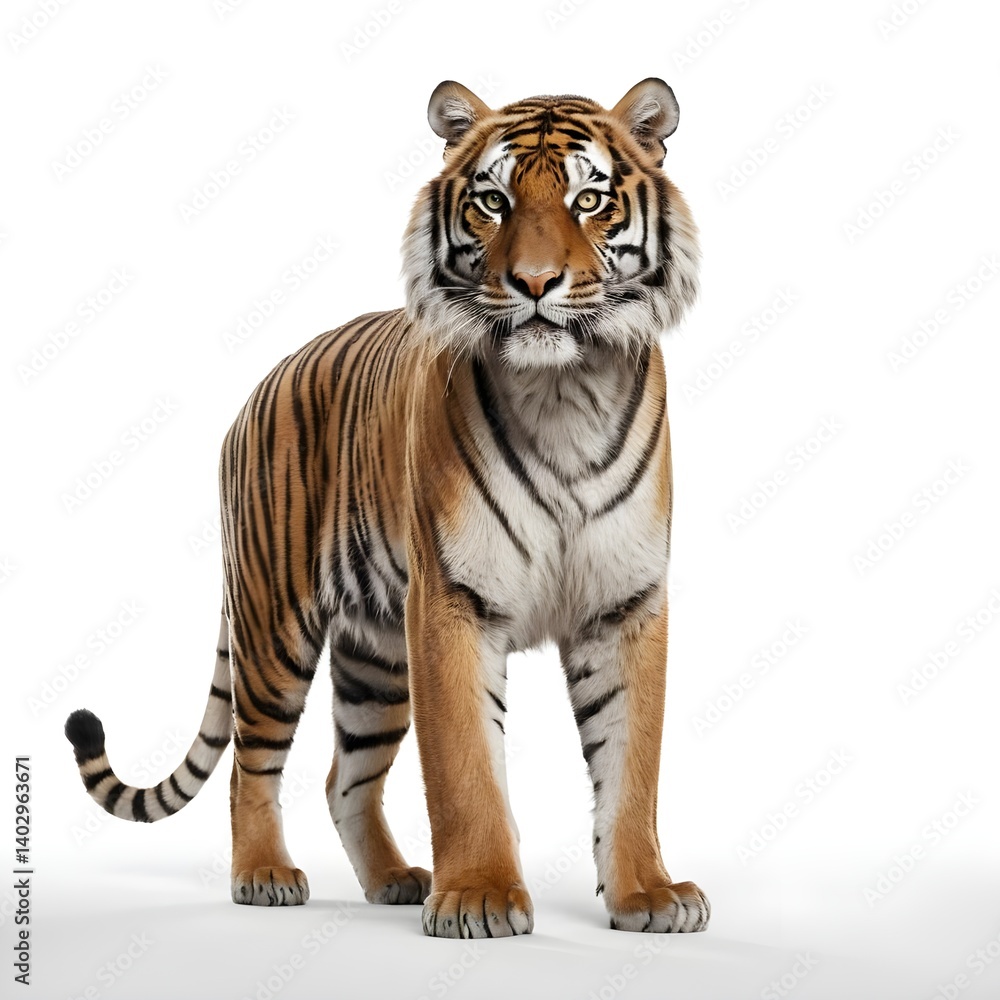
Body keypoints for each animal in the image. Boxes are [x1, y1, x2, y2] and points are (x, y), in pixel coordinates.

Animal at [65, 77, 709, 938]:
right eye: (495, 201)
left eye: (590, 199)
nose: (535, 283)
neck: (562, 390)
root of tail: (258, 386)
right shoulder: (451, 602)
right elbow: (465, 767)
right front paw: (480, 896)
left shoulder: (626, 603)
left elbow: (631, 766)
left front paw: (649, 894)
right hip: (273, 625)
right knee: (249, 764)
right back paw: (265, 874)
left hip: (375, 655)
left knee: (345, 777)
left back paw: (394, 879)